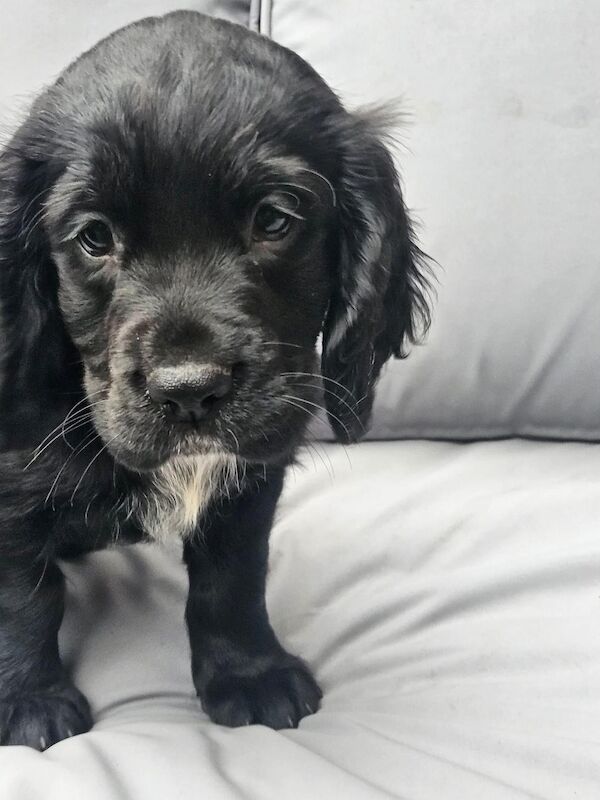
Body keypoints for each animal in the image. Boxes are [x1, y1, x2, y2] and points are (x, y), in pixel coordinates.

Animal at [0, 10, 432, 752]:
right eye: (93, 237)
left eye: (274, 219)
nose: (188, 389)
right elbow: (21, 601)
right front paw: (27, 699)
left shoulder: (251, 479)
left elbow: (232, 580)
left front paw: (248, 674)